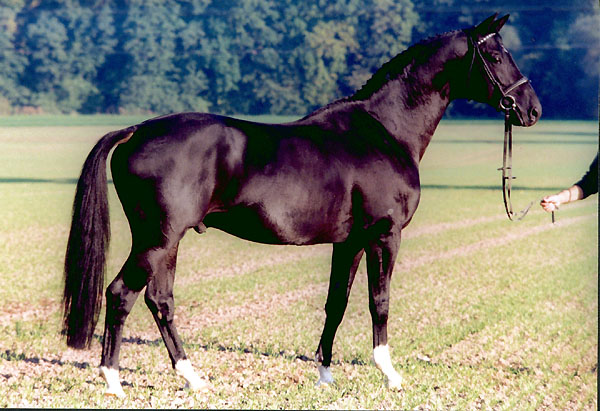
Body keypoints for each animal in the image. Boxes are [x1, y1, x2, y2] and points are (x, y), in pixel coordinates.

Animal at [63, 14, 540, 398]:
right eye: (495, 55)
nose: (532, 109)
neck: (384, 130)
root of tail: (137, 129)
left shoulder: (349, 242)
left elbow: (336, 303)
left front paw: (325, 374)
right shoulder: (384, 236)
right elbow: (379, 302)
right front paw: (390, 374)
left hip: (167, 242)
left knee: (160, 301)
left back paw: (193, 378)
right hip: (156, 240)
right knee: (121, 294)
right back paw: (113, 381)